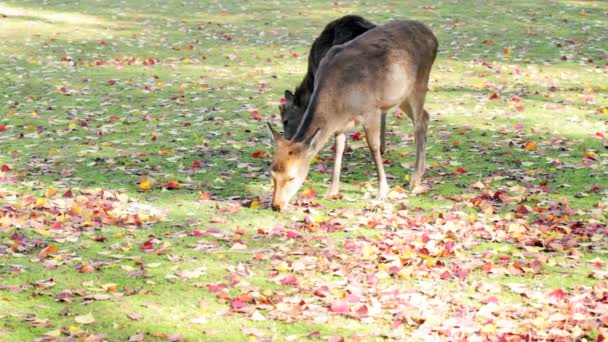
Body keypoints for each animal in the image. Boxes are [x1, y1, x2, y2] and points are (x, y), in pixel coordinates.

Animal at [270, 19, 436, 211]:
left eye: (292, 177)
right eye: (272, 175)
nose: (276, 206)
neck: (339, 103)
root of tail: (433, 37)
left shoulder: (371, 110)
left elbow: (373, 147)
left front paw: (382, 192)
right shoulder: (340, 125)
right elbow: (339, 148)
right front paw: (332, 191)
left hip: (419, 83)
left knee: (419, 123)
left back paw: (415, 180)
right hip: (400, 95)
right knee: (425, 116)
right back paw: (421, 172)